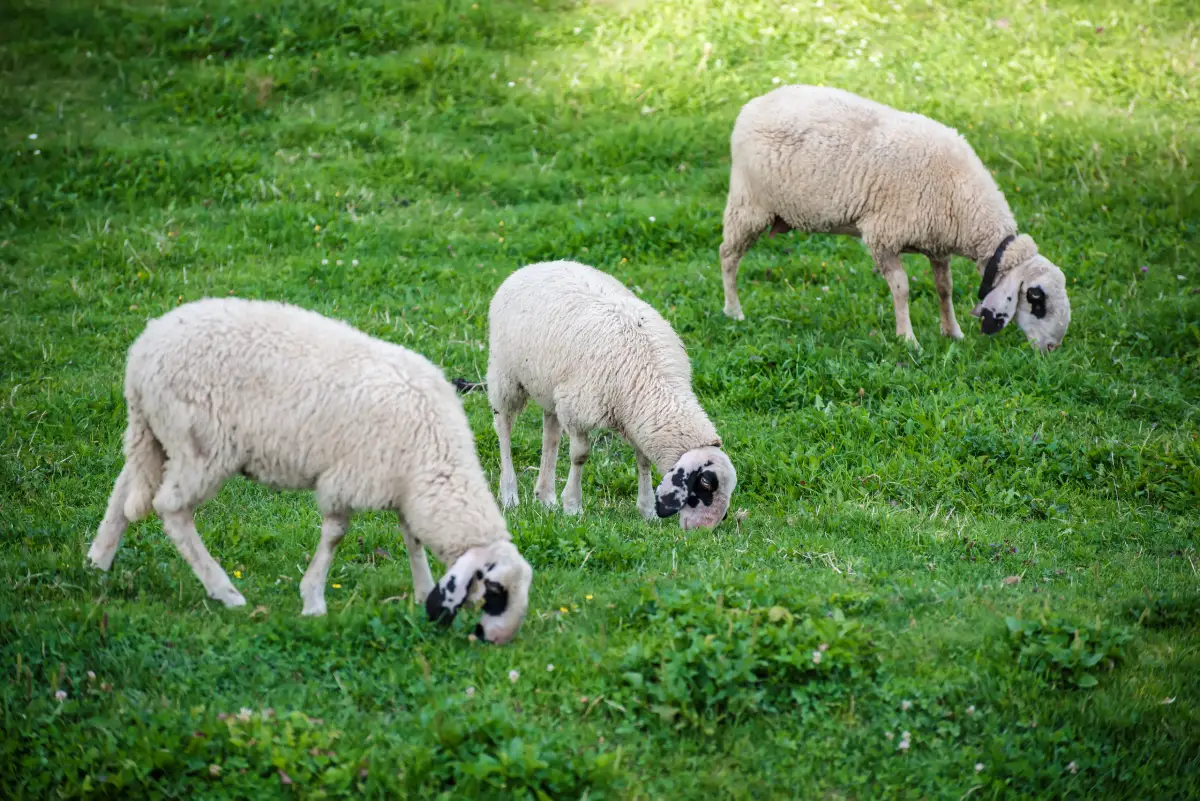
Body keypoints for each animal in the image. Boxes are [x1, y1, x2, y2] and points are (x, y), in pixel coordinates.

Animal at [82, 298, 532, 642]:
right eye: (495, 592)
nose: (492, 639)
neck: (436, 458)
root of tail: (142, 354)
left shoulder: (401, 481)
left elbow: (411, 537)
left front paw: (421, 591)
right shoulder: (348, 478)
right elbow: (335, 536)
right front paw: (313, 600)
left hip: (154, 435)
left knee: (124, 491)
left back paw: (97, 563)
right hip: (201, 446)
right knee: (171, 510)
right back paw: (224, 591)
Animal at [463, 260, 734, 527]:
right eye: (706, 483)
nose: (705, 530)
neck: (652, 378)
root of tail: (534, 265)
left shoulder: (636, 418)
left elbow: (643, 460)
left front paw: (647, 509)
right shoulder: (577, 409)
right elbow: (580, 456)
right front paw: (573, 506)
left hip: (551, 388)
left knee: (550, 435)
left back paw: (546, 496)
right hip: (505, 376)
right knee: (503, 427)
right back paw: (509, 494)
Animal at [715, 83, 1075, 352]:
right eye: (1036, 298)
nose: (1053, 348)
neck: (965, 202)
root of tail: (755, 102)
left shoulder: (937, 243)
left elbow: (944, 288)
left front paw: (952, 332)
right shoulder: (882, 236)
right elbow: (902, 288)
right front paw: (908, 339)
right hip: (748, 204)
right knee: (728, 255)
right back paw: (733, 311)